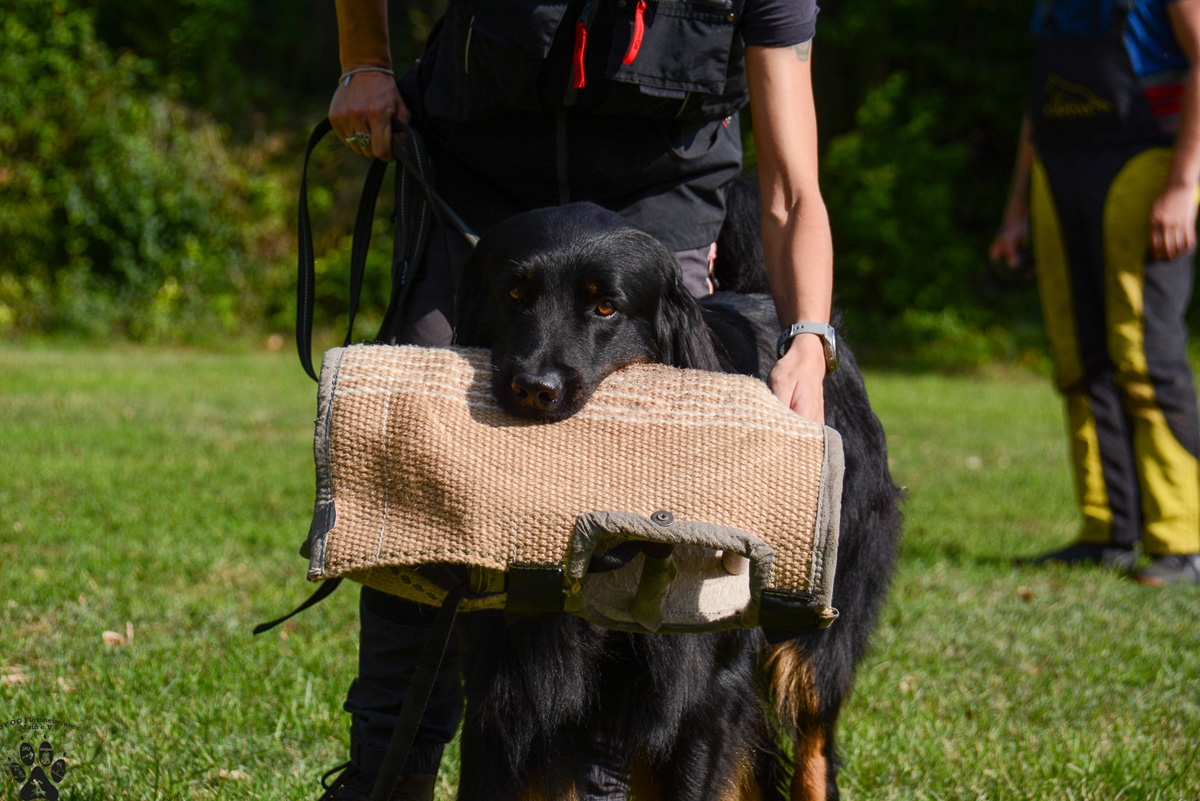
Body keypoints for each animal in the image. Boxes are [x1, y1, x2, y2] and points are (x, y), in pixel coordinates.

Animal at [451, 201, 902, 801]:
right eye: (514, 294)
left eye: (605, 307)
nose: (534, 389)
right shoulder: (505, 685)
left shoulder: (703, 687)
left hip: (815, 629)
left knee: (813, 743)